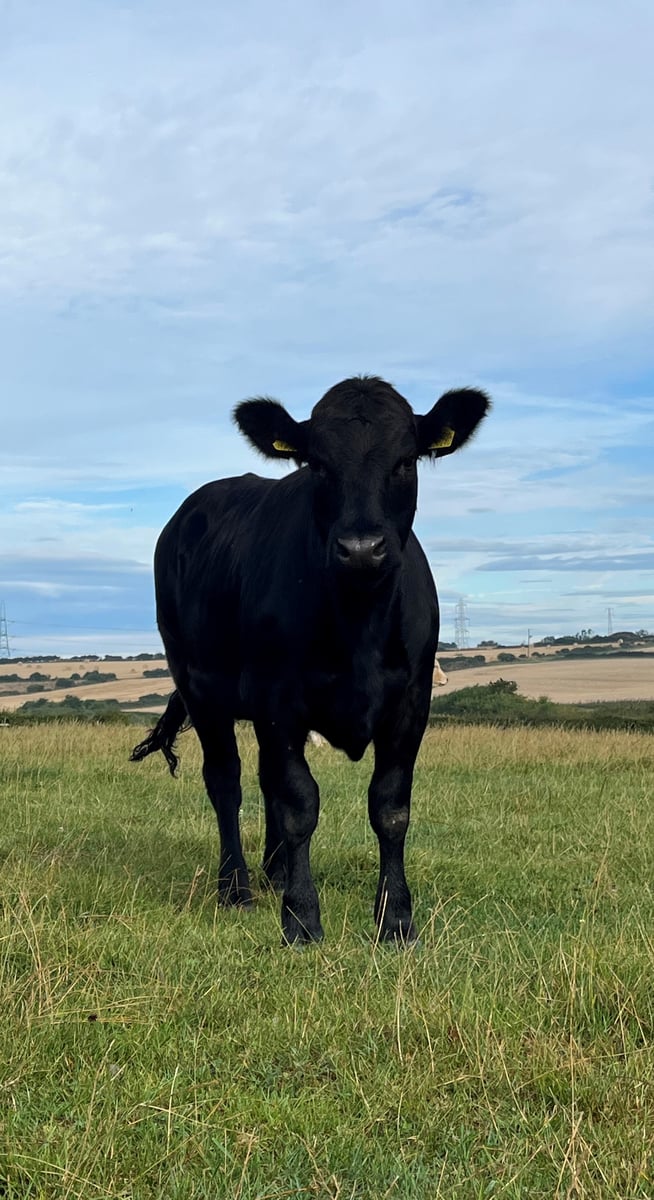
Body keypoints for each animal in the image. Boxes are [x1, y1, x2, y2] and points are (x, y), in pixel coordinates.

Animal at [131, 375, 490, 944]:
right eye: (317, 465)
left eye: (405, 461)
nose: (361, 548)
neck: (358, 624)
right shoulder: (279, 699)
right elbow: (300, 803)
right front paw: (301, 918)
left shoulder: (411, 702)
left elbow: (390, 807)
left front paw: (396, 920)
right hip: (200, 687)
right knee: (226, 781)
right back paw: (236, 888)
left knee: (261, 779)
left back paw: (275, 870)